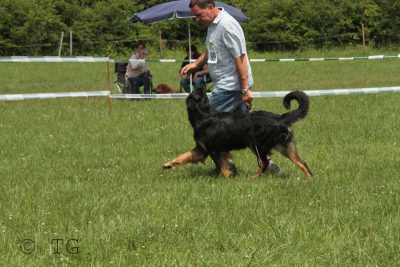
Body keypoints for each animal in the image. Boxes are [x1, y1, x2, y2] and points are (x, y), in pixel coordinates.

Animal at [162, 88, 312, 178]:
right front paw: (168, 164)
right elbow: (183, 156)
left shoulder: (215, 151)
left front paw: (228, 177)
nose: (202, 84)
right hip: (284, 147)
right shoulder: (201, 150)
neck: (204, 115)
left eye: (196, 93)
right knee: (302, 163)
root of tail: (280, 117)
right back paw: (311, 180)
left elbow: (223, 167)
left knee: (264, 163)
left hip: (257, 145)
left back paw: (253, 177)